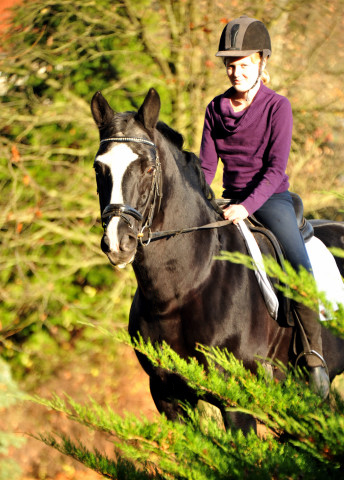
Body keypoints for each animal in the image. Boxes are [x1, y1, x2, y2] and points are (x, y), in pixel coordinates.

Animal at [90, 88, 344, 434]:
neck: (186, 288)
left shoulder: (238, 401)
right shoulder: (168, 396)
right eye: (98, 168)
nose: (118, 242)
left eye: (148, 168)